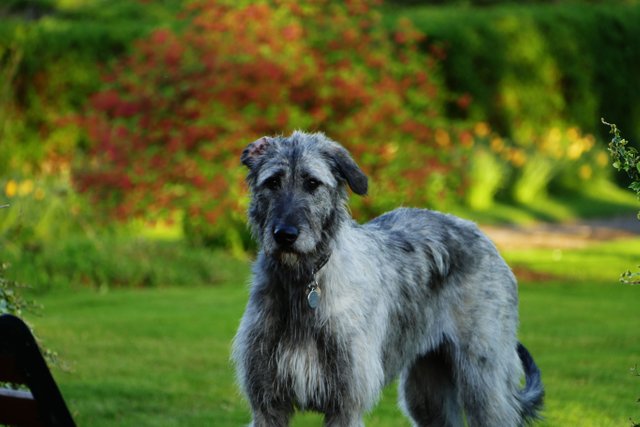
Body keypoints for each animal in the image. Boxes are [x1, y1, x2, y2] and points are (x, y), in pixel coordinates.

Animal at [232, 132, 544, 426]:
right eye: (273, 182)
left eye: (312, 183)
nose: (285, 235)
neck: (304, 283)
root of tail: (480, 233)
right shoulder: (268, 405)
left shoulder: (345, 405)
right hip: (428, 394)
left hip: (484, 382)